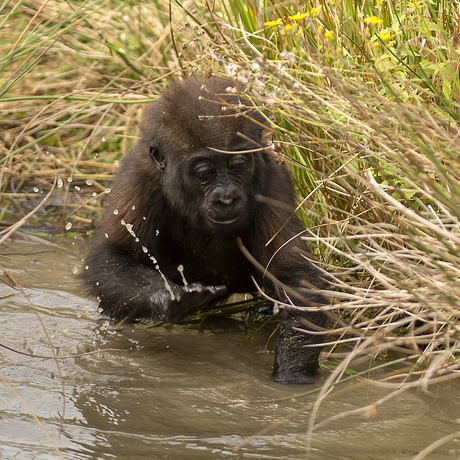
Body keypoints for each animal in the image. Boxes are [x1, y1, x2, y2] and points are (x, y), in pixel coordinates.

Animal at [81, 77, 328, 382]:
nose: (226, 197)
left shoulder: (272, 178)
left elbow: (297, 277)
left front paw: (292, 375)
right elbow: (111, 258)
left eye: (238, 165)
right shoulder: (138, 177)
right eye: (204, 172)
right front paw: (168, 296)